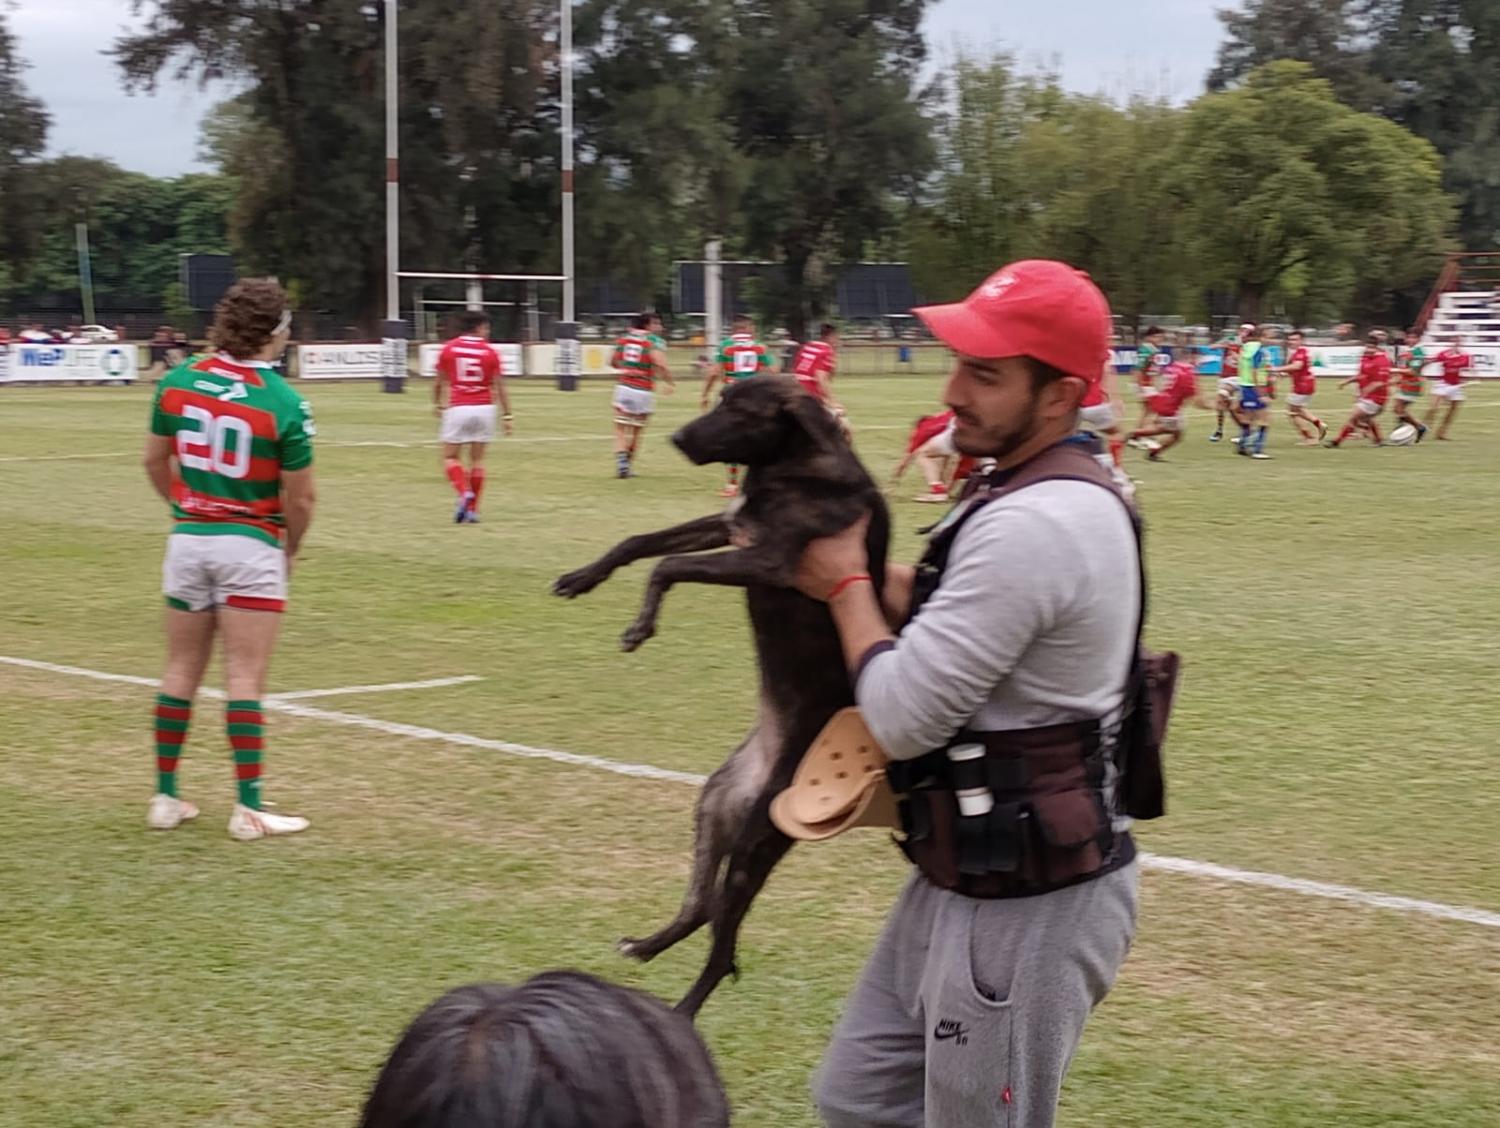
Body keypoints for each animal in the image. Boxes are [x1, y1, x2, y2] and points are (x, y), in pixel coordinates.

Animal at [555, 375, 888, 1020]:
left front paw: (641, 625)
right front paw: (584, 578)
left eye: (741, 411)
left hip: (755, 845)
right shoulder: (729, 526)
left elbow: (666, 563)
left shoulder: (770, 559)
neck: (792, 463)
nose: (677, 437)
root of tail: (762, 775)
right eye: (723, 397)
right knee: (699, 907)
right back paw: (645, 946)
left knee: (722, 948)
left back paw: (682, 1012)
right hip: (713, 808)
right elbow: (641, 541)